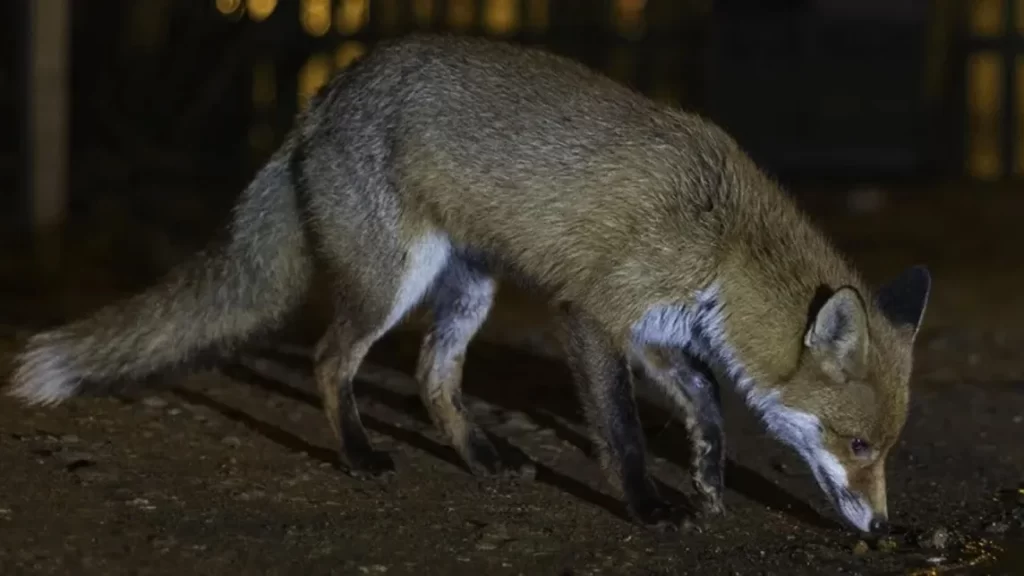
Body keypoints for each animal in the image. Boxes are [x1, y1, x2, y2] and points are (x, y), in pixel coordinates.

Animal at [7, 34, 930, 535]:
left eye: (885, 450)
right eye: (858, 447)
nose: (885, 527)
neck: (724, 240)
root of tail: (323, 96)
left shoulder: (657, 330)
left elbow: (705, 400)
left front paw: (708, 484)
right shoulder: (591, 313)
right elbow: (623, 433)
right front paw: (647, 506)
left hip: (469, 290)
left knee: (430, 375)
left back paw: (482, 456)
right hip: (391, 282)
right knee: (329, 359)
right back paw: (359, 455)